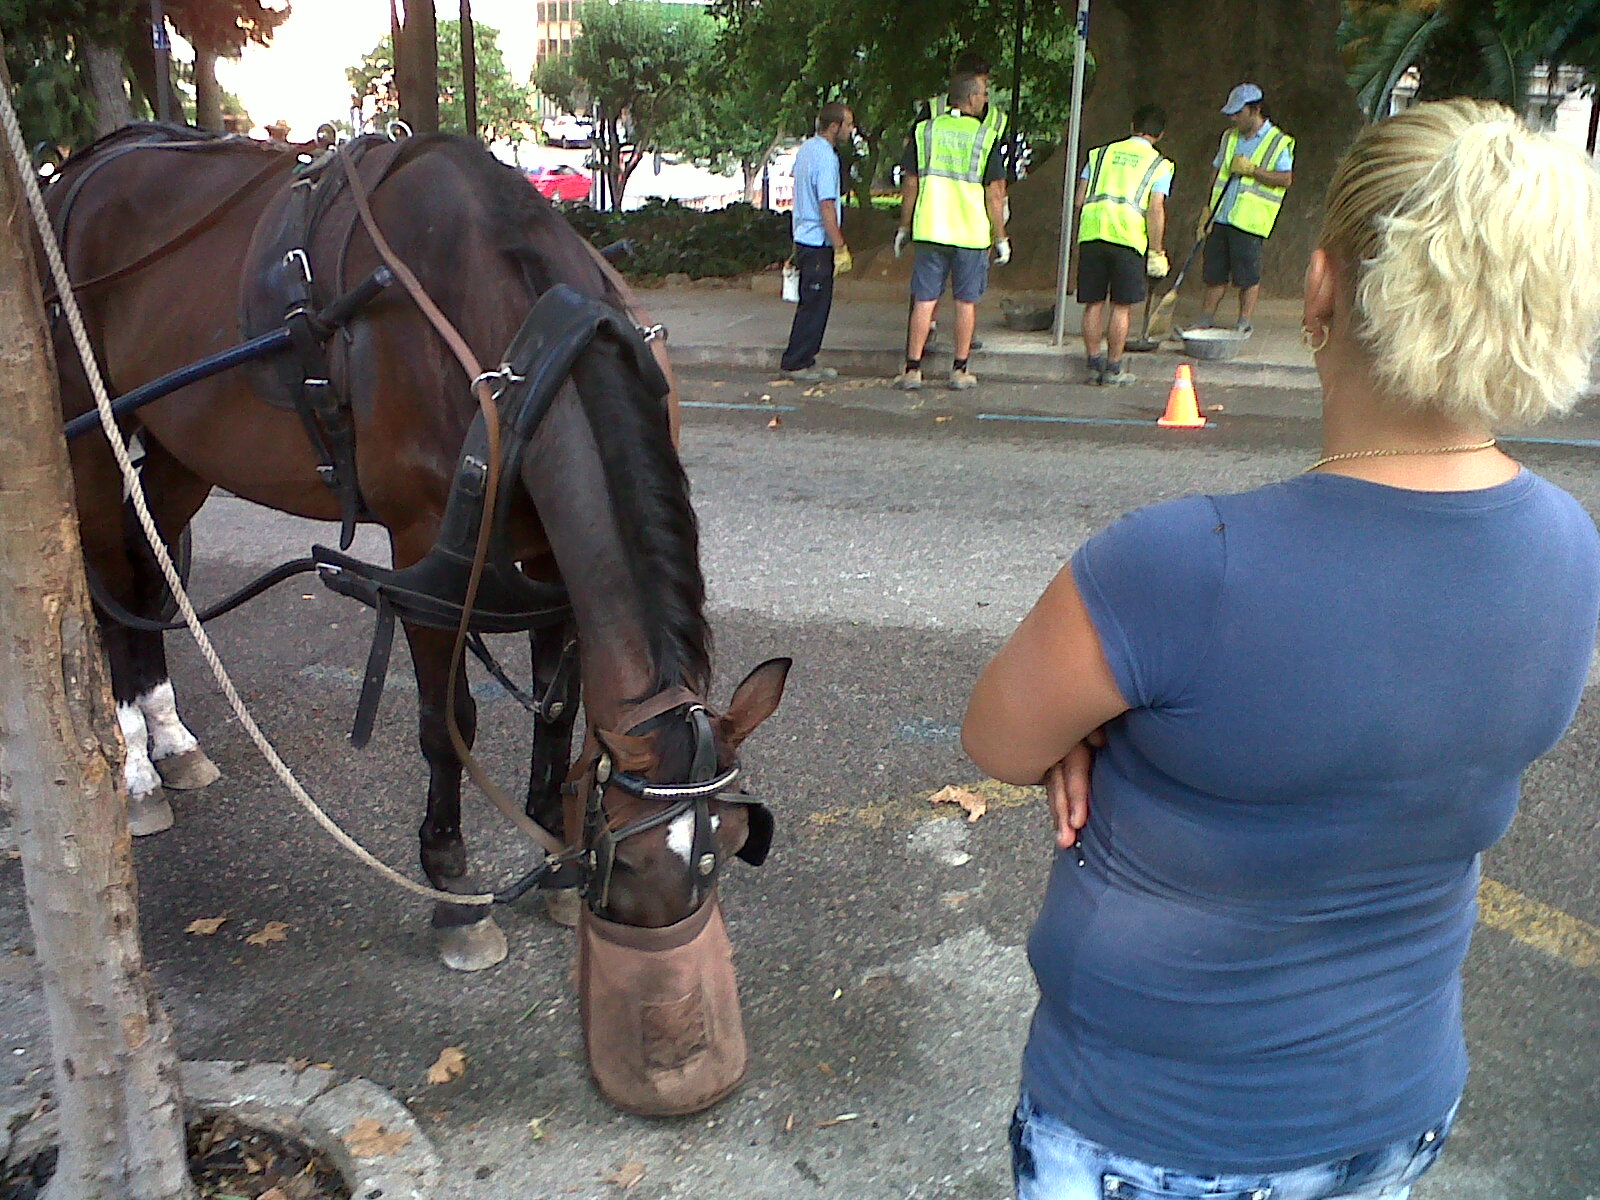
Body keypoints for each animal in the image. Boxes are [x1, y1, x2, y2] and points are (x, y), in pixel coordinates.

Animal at [53, 127, 790, 979]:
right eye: (634, 865)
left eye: (726, 848)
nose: (666, 983)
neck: (521, 360)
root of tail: (84, 164)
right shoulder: (423, 558)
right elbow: (449, 725)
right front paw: (454, 893)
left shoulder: (553, 569)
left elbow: (559, 715)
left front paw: (554, 858)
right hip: (87, 436)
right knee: (109, 582)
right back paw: (137, 769)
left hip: (182, 450)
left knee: (147, 571)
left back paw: (169, 736)